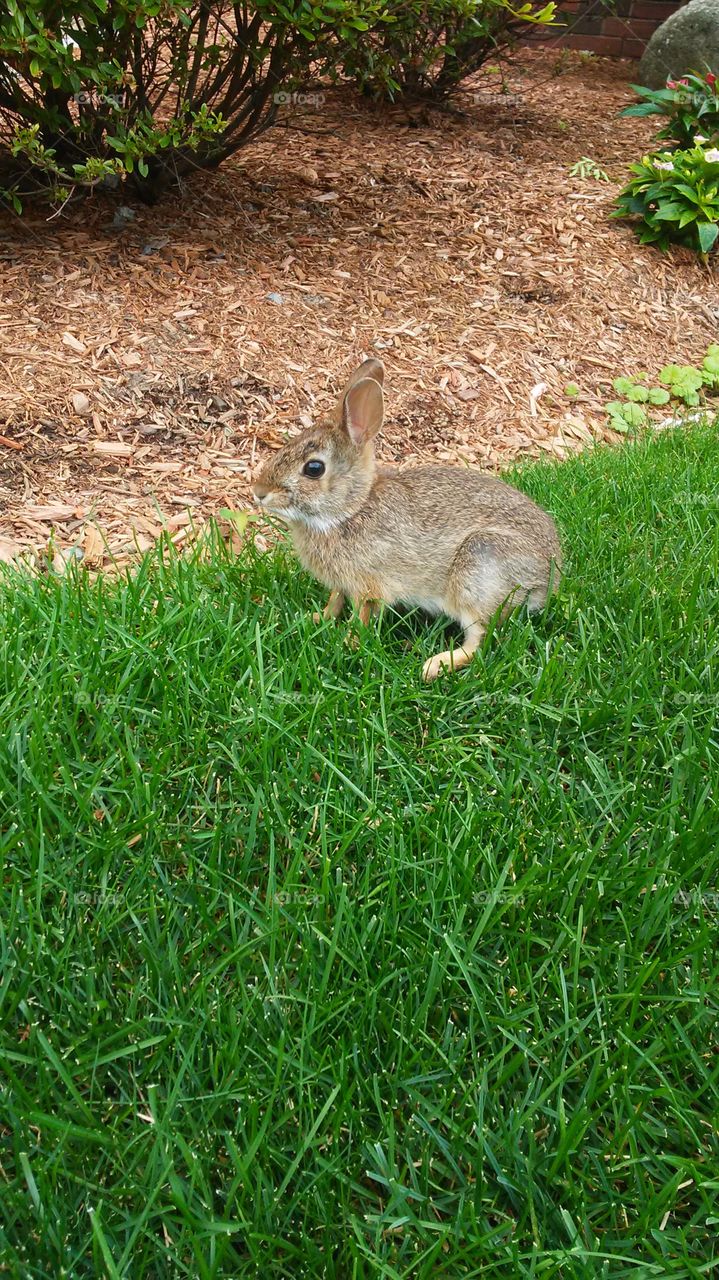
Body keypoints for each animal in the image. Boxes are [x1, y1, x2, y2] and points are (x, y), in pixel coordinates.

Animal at [252, 358, 560, 680]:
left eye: (314, 469)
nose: (259, 493)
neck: (352, 509)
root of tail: (550, 578)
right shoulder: (342, 583)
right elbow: (335, 601)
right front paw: (316, 619)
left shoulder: (368, 585)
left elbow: (361, 615)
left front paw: (348, 641)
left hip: (478, 567)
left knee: (480, 640)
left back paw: (435, 665)